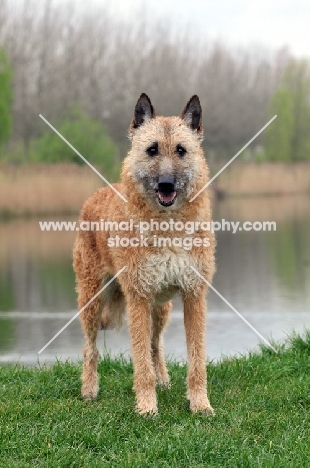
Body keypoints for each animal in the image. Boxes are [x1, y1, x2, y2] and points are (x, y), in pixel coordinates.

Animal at [74, 93, 217, 414]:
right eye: (152, 150)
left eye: (181, 150)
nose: (166, 184)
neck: (168, 228)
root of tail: (94, 196)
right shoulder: (138, 298)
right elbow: (140, 364)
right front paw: (147, 408)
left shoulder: (194, 296)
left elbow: (196, 360)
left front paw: (200, 404)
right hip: (92, 300)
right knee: (90, 348)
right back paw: (89, 390)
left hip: (161, 308)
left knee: (155, 345)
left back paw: (163, 379)